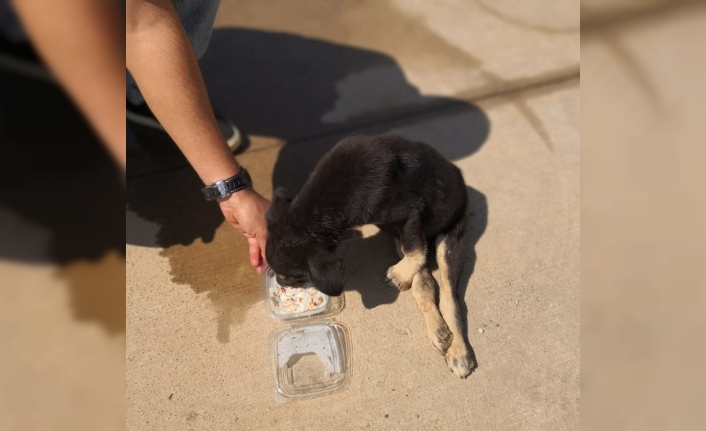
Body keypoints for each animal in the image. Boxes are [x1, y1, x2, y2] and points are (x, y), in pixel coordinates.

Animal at [264, 134, 472, 378]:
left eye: (292, 276)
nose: (279, 282)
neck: (319, 209)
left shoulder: (411, 212)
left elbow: (417, 252)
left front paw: (400, 272)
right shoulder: (404, 224)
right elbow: (417, 257)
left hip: (450, 237)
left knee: (450, 297)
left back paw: (458, 351)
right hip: (400, 236)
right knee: (425, 285)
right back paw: (437, 329)